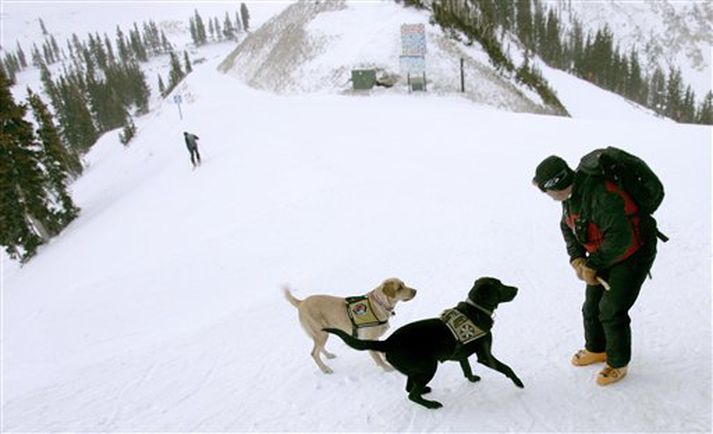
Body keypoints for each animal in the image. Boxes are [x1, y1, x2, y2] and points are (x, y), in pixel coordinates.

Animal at [324, 276, 524, 408]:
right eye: (499, 286)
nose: (516, 288)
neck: (476, 310)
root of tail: (387, 342)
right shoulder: (485, 355)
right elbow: (506, 368)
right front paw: (519, 383)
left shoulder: (461, 355)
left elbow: (466, 368)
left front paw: (472, 379)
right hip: (429, 366)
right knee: (411, 395)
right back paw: (431, 404)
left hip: (417, 369)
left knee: (409, 388)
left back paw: (425, 391)